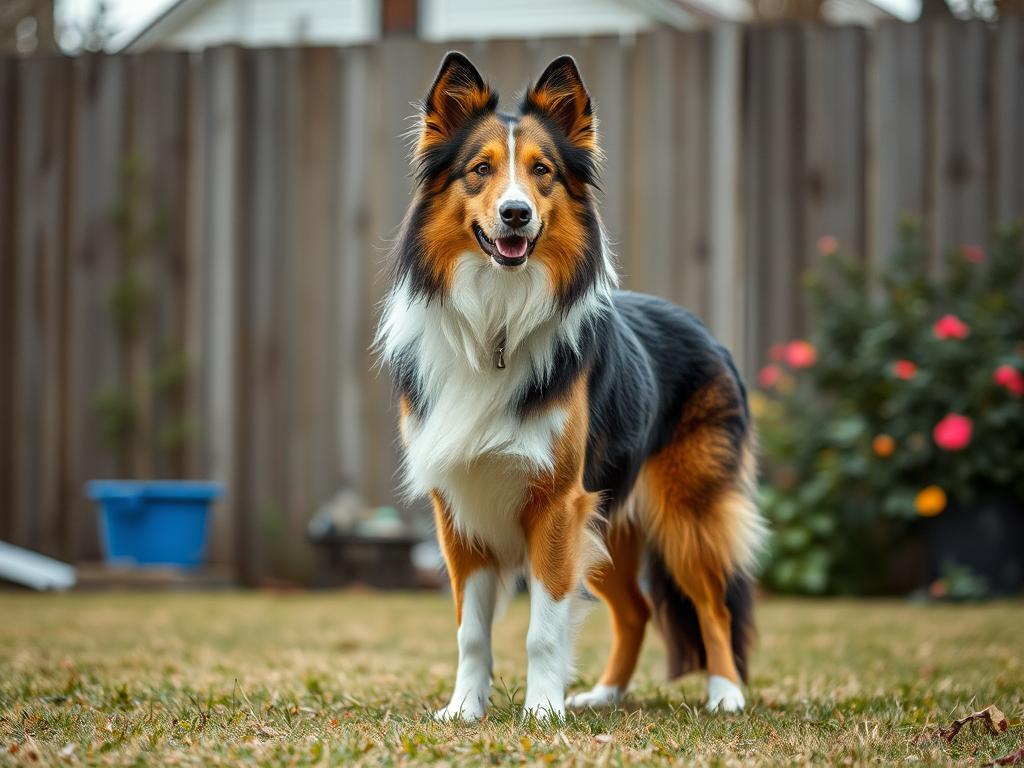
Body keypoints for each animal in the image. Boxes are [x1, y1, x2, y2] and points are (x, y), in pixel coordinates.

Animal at [380, 51, 765, 720]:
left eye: (543, 172)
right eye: (480, 170)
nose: (516, 214)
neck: (498, 322)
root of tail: (709, 337)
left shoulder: (557, 505)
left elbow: (542, 628)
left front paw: (541, 711)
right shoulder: (459, 507)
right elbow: (470, 630)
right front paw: (465, 709)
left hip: (686, 513)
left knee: (714, 605)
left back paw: (725, 693)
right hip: (607, 520)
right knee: (637, 609)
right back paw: (604, 695)